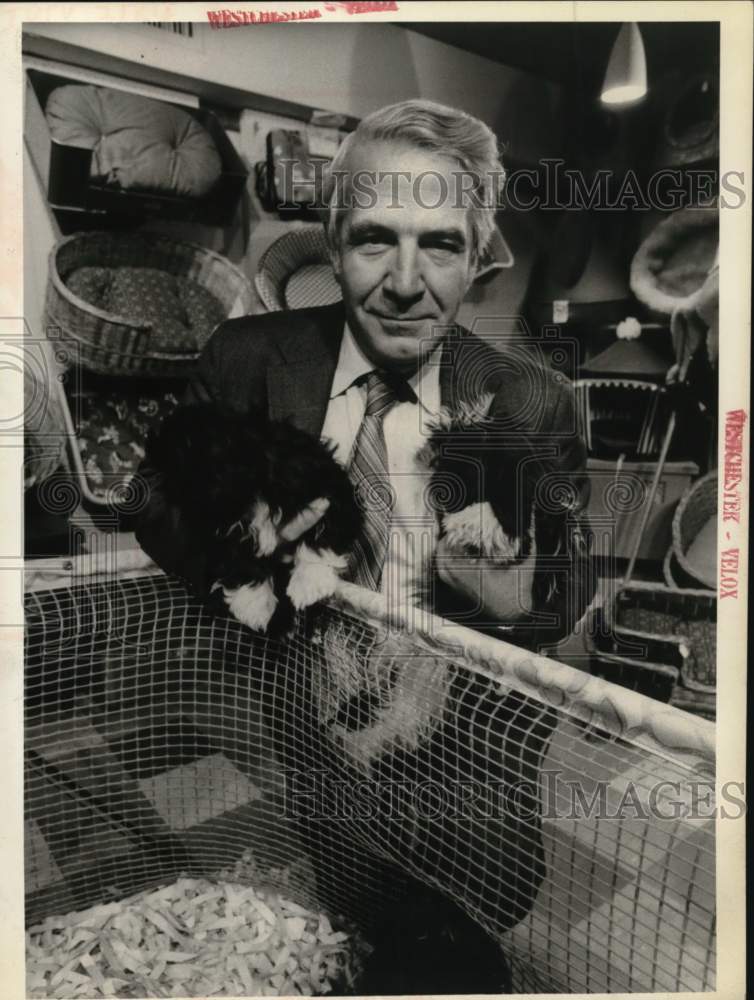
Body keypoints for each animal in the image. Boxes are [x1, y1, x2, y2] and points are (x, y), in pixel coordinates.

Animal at [145, 404, 362, 632]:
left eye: (210, 475)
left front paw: (309, 581)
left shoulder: (325, 487)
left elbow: (323, 532)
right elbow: (238, 556)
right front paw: (256, 604)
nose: (199, 514)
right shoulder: (225, 533)